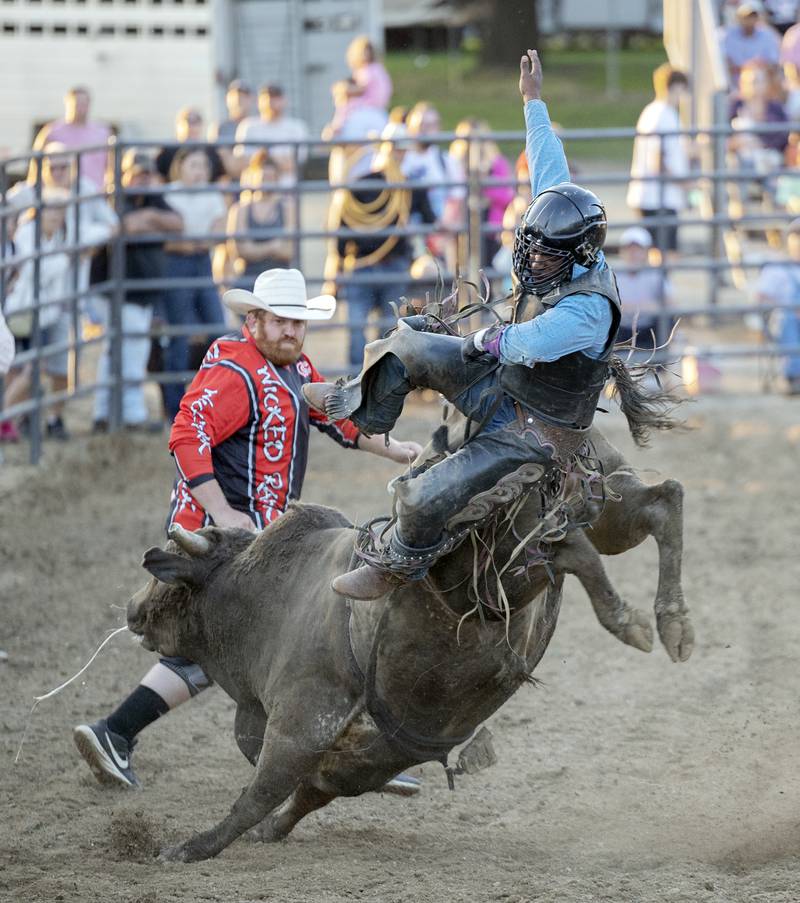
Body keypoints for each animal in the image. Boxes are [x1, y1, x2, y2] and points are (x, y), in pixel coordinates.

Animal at [128, 400, 692, 860]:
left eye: (168, 573)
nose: (133, 609)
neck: (263, 597)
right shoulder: (369, 755)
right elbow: (314, 790)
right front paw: (272, 831)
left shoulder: (301, 719)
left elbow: (259, 793)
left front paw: (189, 848)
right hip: (608, 505)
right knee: (660, 502)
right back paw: (671, 624)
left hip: (492, 572)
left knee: (572, 549)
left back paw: (629, 620)